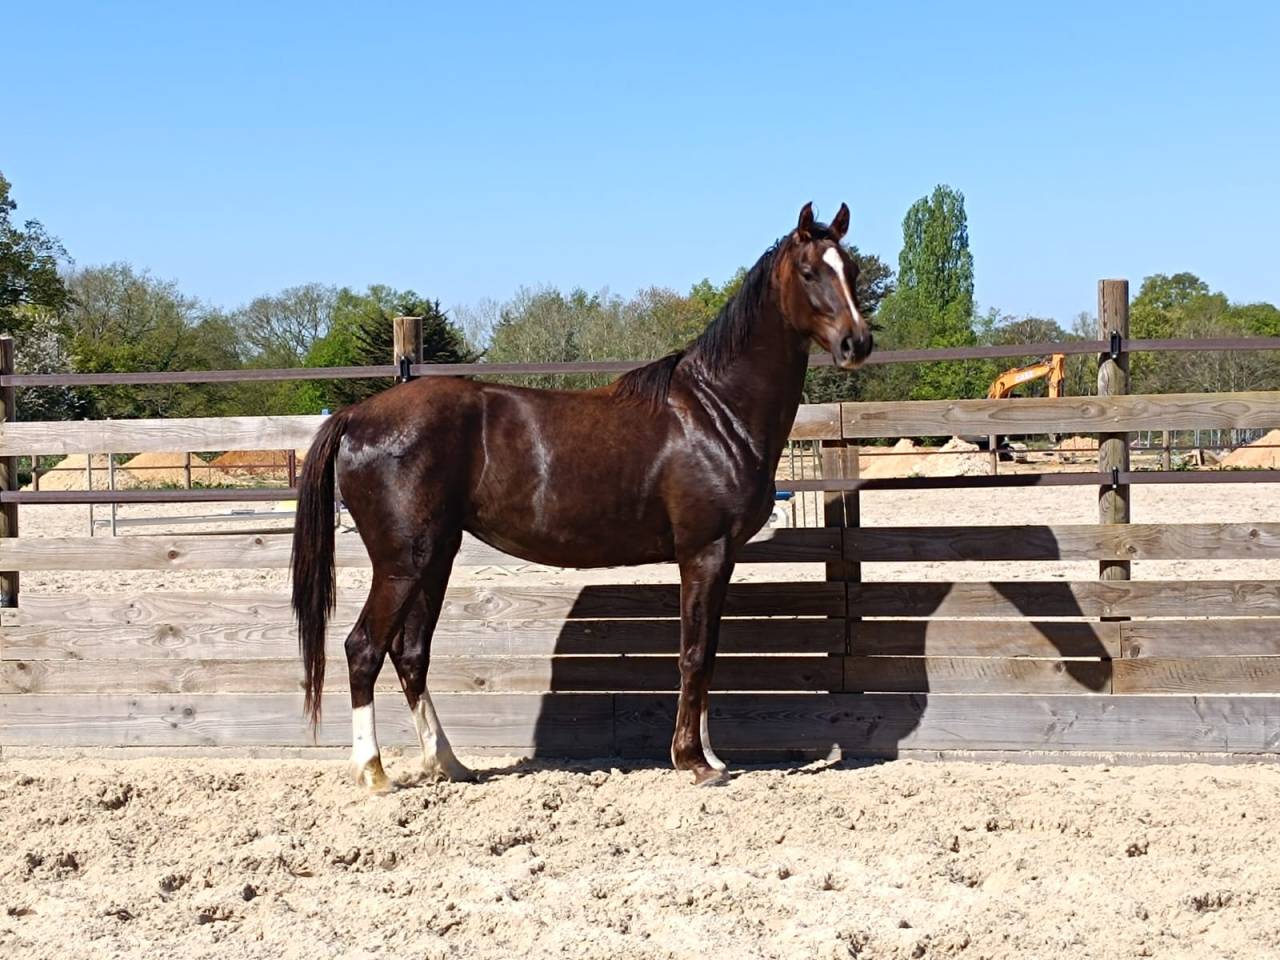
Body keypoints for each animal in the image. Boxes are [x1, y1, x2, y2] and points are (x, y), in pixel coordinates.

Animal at [291, 202, 872, 789]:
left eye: (851, 269)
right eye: (808, 272)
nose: (857, 343)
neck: (714, 411)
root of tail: (356, 416)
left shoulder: (721, 557)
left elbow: (707, 655)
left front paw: (710, 757)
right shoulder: (703, 552)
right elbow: (693, 655)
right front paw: (692, 760)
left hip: (434, 558)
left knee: (410, 652)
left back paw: (448, 763)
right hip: (402, 563)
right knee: (363, 648)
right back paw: (374, 772)